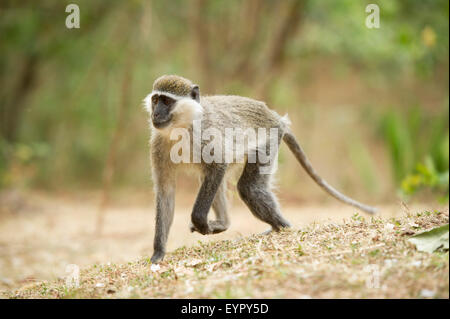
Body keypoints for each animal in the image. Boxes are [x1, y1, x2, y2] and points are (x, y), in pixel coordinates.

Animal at [144, 75, 376, 264]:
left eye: (167, 101)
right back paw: (224, 223)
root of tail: (276, 117)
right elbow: (166, 192)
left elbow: (218, 166)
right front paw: (158, 253)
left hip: (270, 139)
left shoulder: (205, 137)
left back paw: (281, 227)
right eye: (156, 100)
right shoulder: (158, 146)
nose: (156, 113)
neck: (181, 127)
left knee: (249, 188)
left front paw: (200, 222)